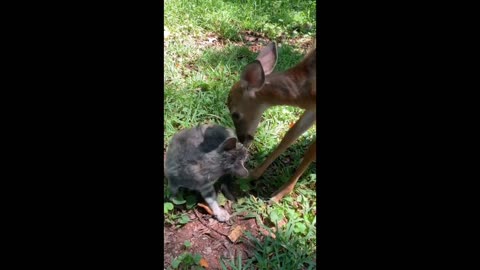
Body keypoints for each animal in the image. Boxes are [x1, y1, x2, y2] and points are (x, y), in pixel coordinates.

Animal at [228, 39, 316, 202]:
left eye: (235, 114)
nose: (241, 138)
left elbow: (311, 151)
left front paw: (280, 194)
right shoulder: (312, 109)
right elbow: (289, 136)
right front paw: (252, 175)